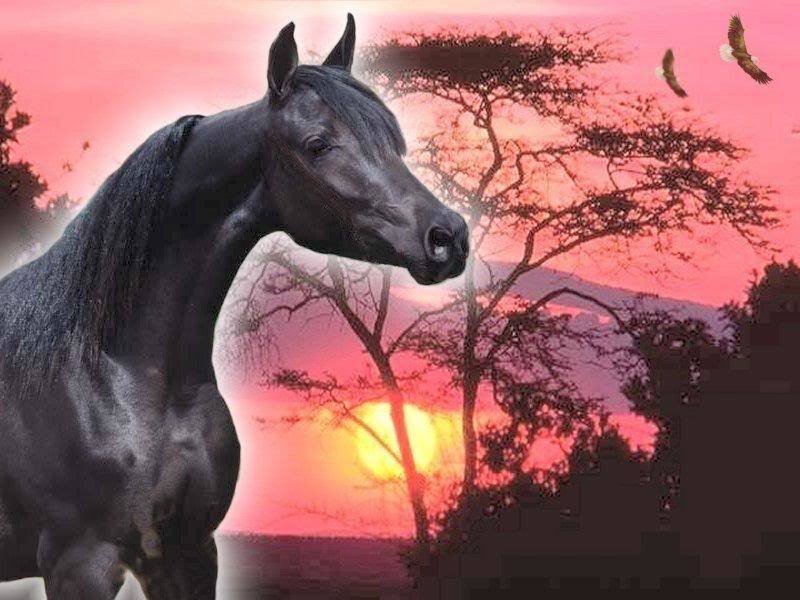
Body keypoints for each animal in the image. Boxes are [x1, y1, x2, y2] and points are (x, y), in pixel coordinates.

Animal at [0, 15, 468, 598]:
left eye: (392, 142)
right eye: (317, 145)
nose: (448, 237)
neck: (115, 371)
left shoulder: (187, 552)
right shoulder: (79, 562)